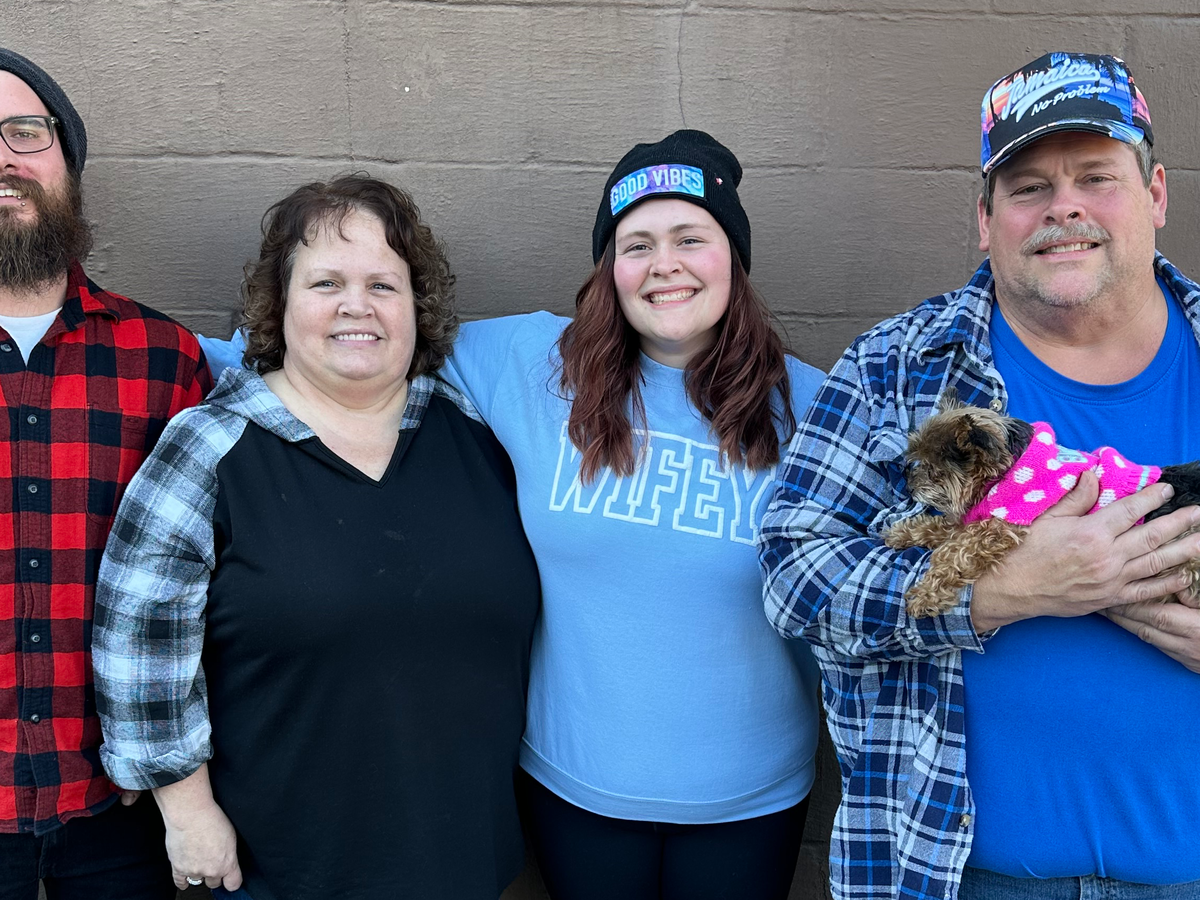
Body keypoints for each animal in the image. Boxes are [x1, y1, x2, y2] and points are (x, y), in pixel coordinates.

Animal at [883, 390, 1200, 618]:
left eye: (932, 469)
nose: (907, 482)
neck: (1006, 470)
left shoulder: (1001, 524)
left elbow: (955, 552)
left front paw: (927, 593)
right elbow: (944, 527)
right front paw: (905, 533)